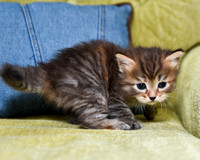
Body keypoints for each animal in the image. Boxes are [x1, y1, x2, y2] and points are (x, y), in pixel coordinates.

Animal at [0, 40, 184, 130]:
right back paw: (117, 124)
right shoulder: (113, 95)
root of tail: (50, 71)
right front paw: (131, 120)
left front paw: (152, 110)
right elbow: (122, 109)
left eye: (162, 84)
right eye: (140, 86)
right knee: (89, 119)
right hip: (92, 90)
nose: (152, 97)